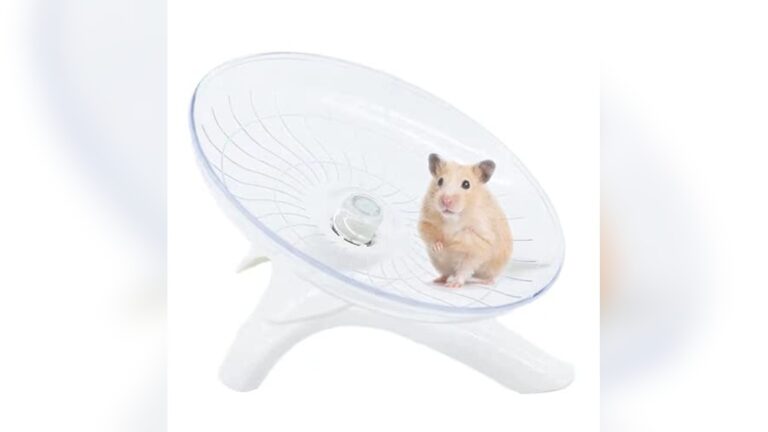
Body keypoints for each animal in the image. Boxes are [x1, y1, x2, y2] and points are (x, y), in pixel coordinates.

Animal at [418, 153, 512, 288]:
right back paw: (438, 280)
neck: (453, 219)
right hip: (440, 264)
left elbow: (465, 237)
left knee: (470, 273)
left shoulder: (481, 240)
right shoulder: (426, 220)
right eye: (440, 181)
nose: (446, 200)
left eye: (466, 184)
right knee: (446, 273)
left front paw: (451, 244)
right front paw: (440, 246)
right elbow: (430, 235)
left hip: (490, 267)